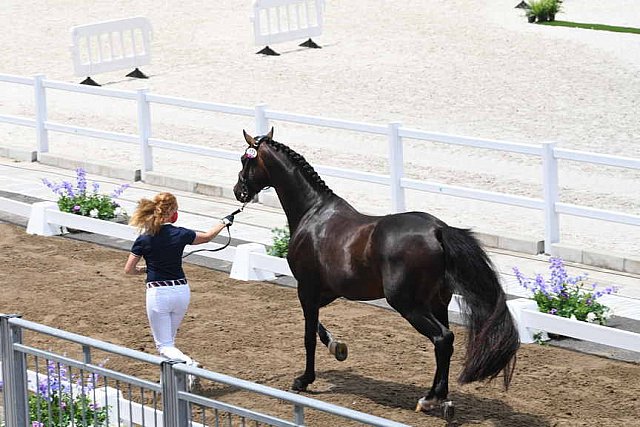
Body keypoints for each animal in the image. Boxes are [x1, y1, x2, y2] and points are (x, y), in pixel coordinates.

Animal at [235, 128, 520, 418]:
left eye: (244, 160)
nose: (238, 191)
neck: (312, 214)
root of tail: (437, 230)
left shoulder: (307, 288)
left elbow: (308, 334)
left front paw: (304, 380)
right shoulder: (326, 291)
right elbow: (317, 327)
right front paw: (337, 348)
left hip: (409, 305)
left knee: (442, 338)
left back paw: (430, 399)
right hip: (438, 302)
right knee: (445, 344)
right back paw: (442, 399)